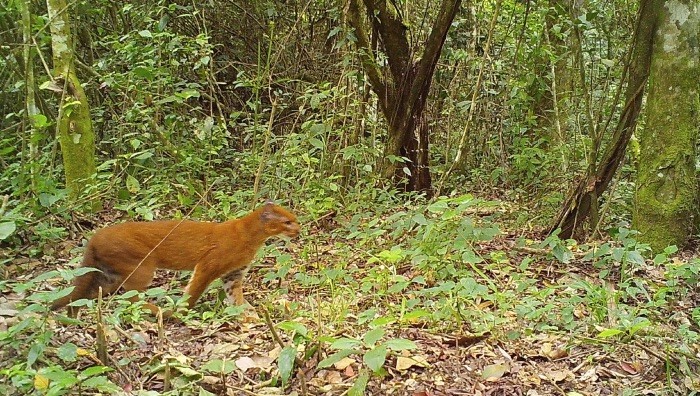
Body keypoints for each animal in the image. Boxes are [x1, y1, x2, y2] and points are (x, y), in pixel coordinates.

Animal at [50, 203, 298, 318]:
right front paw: (181, 310)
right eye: (287, 222)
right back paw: (159, 311)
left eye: (293, 219)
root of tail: (95, 236)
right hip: (142, 267)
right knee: (132, 298)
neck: (252, 234)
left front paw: (248, 314)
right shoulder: (208, 265)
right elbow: (194, 291)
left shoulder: (233, 275)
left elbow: (236, 297)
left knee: (87, 295)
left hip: (107, 275)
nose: (299, 228)